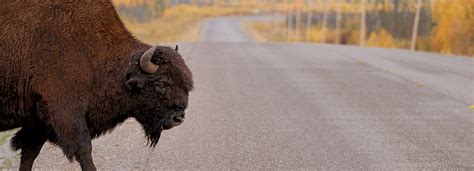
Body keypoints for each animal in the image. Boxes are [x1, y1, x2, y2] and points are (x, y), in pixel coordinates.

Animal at [0, 0, 193, 170]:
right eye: (160, 84)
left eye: (186, 85)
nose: (178, 118)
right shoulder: (65, 113)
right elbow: (84, 149)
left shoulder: (38, 122)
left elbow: (29, 153)